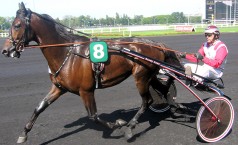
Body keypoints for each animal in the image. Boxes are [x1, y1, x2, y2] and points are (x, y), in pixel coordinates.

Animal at [1, 2, 182, 144]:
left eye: (17, 25)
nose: (5, 50)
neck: (67, 53)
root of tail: (156, 43)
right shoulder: (59, 87)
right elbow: (40, 107)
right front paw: (23, 134)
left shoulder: (86, 90)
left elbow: (93, 116)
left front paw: (118, 123)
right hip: (149, 75)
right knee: (163, 89)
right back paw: (174, 108)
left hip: (141, 76)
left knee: (147, 100)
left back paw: (131, 127)